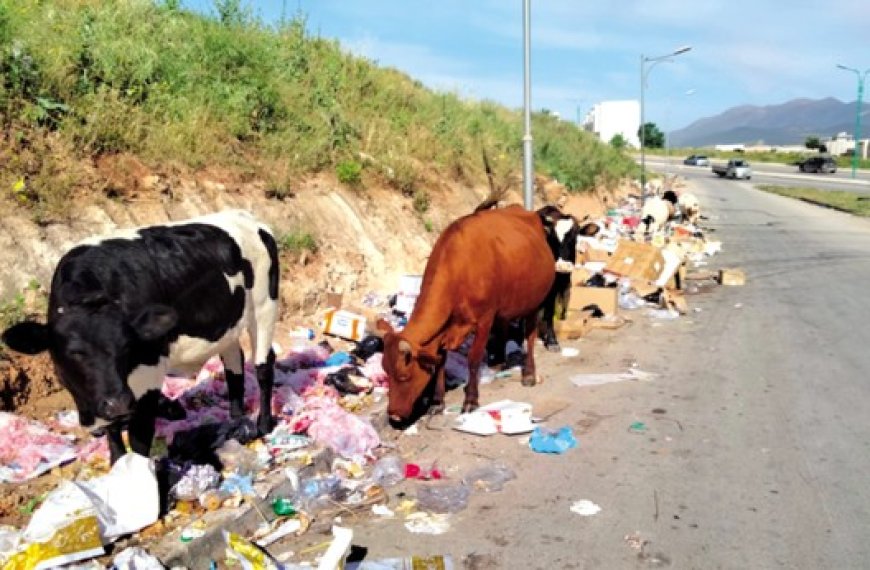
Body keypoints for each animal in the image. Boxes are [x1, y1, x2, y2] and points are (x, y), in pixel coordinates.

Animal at [0, 209, 280, 462]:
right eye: (74, 352)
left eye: (127, 347)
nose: (119, 403)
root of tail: (247, 217)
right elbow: (114, 434)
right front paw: (117, 465)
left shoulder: (148, 373)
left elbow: (139, 436)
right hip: (228, 324)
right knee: (234, 363)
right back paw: (236, 420)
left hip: (264, 306)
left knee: (264, 365)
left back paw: (263, 424)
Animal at [376, 204, 556, 422]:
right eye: (385, 371)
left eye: (404, 376)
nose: (393, 415)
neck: (458, 271)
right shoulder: (444, 330)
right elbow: (441, 363)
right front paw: (437, 402)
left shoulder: (484, 320)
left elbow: (473, 359)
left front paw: (471, 399)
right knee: (504, 326)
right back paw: (499, 362)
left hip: (534, 302)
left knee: (529, 336)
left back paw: (528, 373)